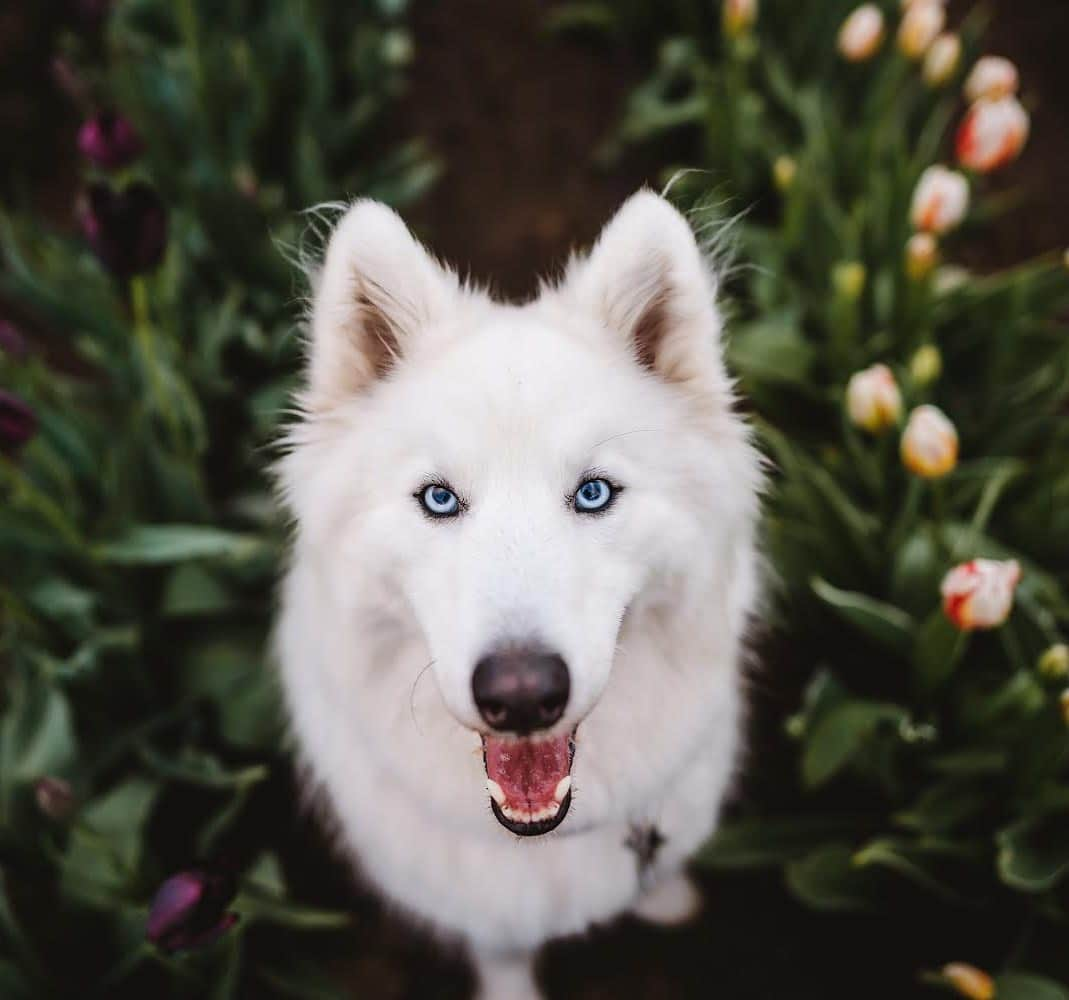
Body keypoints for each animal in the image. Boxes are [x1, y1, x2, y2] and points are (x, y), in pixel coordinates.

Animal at [275, 191, 761, 996]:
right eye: (438, 499)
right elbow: (503, 959)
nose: (523, 694)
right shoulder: (484, 917)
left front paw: (665, 897)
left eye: (594, 493)